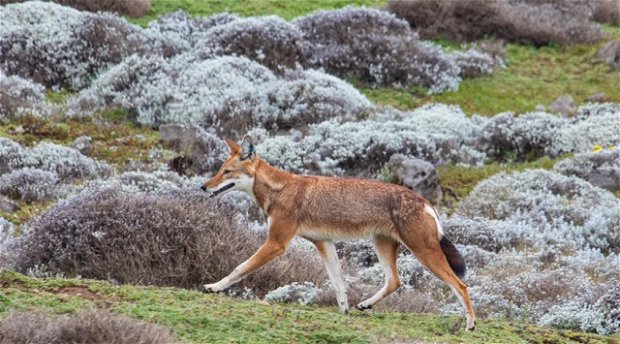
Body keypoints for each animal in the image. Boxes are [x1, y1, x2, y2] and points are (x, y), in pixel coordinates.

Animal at [201, 136, 478, 332]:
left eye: (226, 172)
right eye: (219, 169)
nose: (203, 187)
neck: (280, 189)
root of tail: (424, 201)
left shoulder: (277, 243)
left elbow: (239, 268)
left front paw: (214, 287)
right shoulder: (324, 243)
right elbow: (338, 284)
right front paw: (344, 311)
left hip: (423, 253)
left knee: (461, 285)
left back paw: (470, 325)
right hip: (383, 246)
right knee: (395, 281)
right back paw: (365, 304)